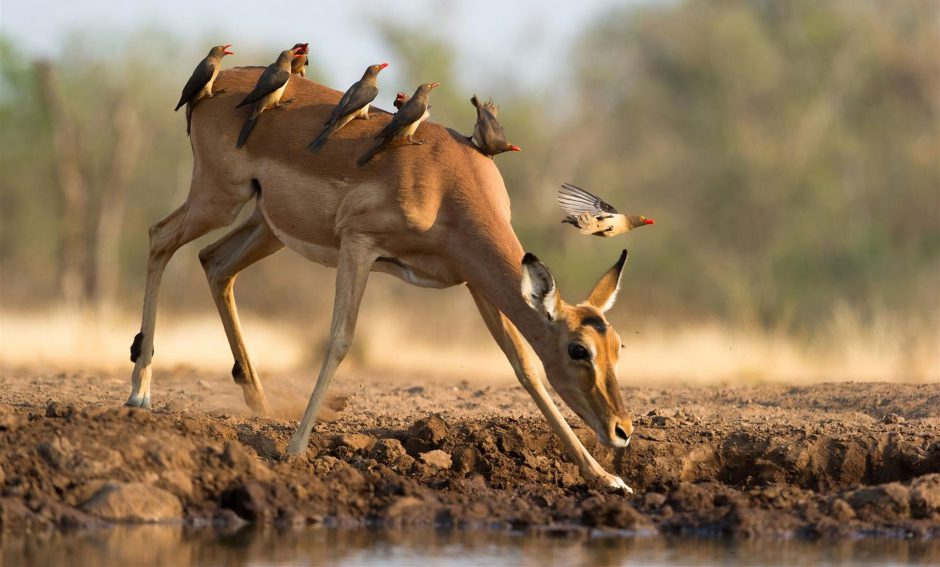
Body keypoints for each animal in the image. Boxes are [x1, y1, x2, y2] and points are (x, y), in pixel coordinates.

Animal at [126, 67, 640, 492]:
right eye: (578, 349)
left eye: (618, 346)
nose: (623, 430)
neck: (446, 184)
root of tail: (216, 83)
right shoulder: (359, 245)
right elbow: (339, 340)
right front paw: (294, 452)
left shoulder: (474, 281)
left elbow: (525, 367)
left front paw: (607, 479)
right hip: (217, 198)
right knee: (159, 237)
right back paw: (139, 393)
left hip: (265, 226)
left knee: (214, 262)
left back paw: (259, 401)